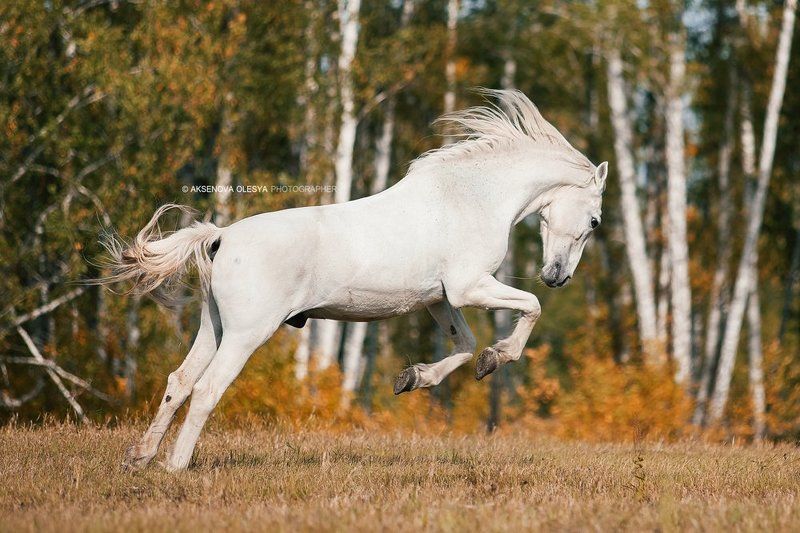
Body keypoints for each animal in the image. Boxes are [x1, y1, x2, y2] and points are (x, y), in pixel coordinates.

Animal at [100, 89, 607, 471]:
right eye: (596, 220)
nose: (558, 276)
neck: (472, 196)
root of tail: (221, 237)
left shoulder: (439, 300)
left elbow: (463, 345)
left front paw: (415, 377)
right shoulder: (469, 287)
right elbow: (529, 309)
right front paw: (496, 357)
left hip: (214, 327)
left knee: (179, 382)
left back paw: (139, 458)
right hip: (247, 334)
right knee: (207, 390)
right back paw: (176, 466)